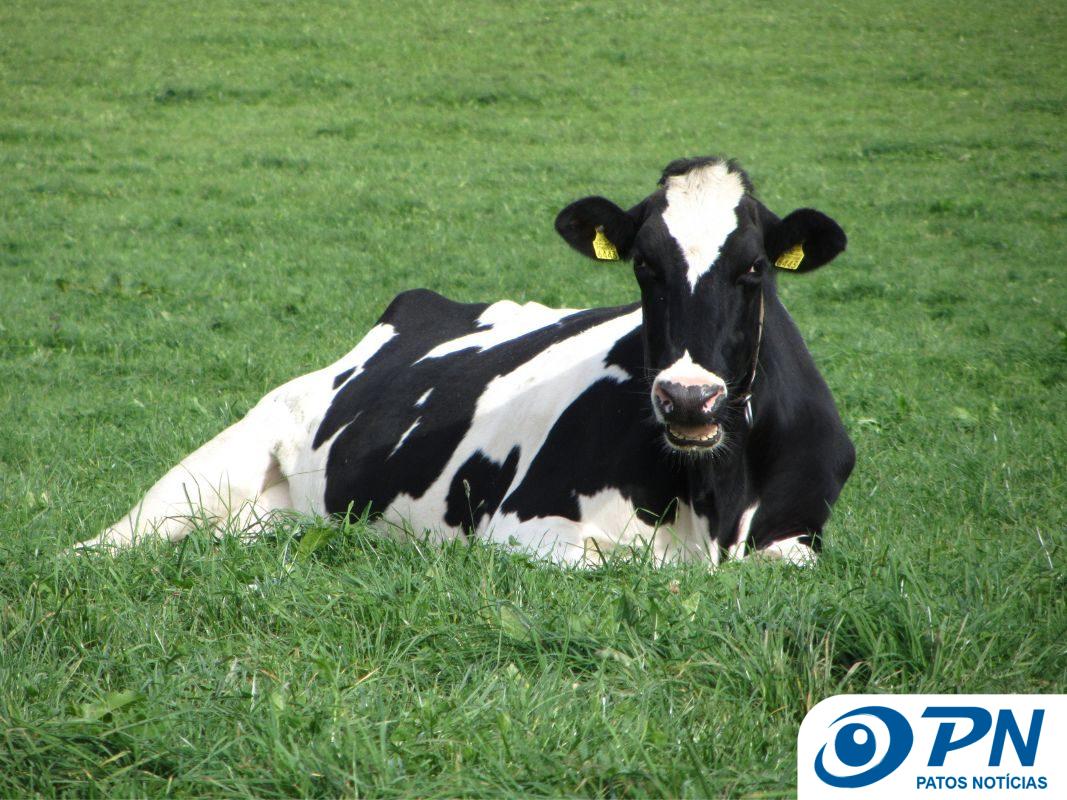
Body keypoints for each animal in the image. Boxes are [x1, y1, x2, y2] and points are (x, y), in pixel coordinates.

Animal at [78, 156, 855, 566]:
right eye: (643, 265)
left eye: (754, 268)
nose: (688, 397)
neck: (710, 499)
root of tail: (417, 306)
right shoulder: (523, 528)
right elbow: (629, 566)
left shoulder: (799, 537)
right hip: (215, 462)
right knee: (107, 541)